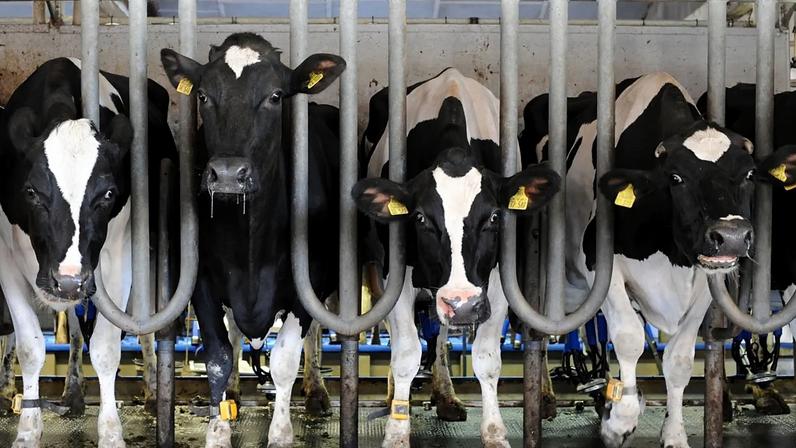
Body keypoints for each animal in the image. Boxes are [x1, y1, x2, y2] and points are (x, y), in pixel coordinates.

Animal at [0, 57, 176, 447]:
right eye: (31, 192)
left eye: (108, 194)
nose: (67, 281)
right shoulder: (5, 258)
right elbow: (31, 347)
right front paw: (28, 430)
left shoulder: (118, 258)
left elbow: (107, 349)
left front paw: (111, 433)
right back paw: (74, 394)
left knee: (146, 325)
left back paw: (153, 391)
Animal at [159, 32, 345, 447]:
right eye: (203, 95)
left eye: (275, 95)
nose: (228, 174)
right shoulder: (202, 281)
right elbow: (217, 354)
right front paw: (217, 432)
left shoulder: (306, 283)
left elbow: (285, 359)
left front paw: (280, 434)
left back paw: (317, 393)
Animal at [353, 67, 560, 447]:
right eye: (420, 218)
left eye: (494, 217)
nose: (462, 304)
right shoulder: (394, 276)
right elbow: (406, 352)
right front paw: (396, 432)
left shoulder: (495, 282)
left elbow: (487, 358)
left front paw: (494, 432)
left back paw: (447, 396)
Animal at [520, 72, 790, 448]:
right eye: (676, 177)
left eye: (749, 175)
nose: (732, 236)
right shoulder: (601, 268)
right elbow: (629, 338)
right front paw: (620, 422)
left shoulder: (706, 277)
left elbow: (679, 360)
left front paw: (674, 434)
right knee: (542, 333)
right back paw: (547, 398)